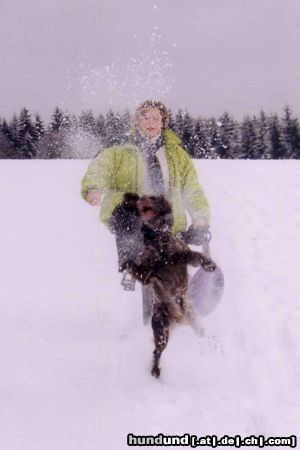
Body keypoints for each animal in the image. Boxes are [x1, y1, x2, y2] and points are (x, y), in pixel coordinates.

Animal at [120, 192, 214, 378]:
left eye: (149, 200)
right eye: (141, 207)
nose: (133, 198)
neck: (159, 240)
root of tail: (181, 316)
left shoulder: (183, 254)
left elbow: (197, 255)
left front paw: (210, 265)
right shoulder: (147, 273)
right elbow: (140, 269)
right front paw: (126, 264)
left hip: (194, 321)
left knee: (199, 332)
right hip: (162, 329)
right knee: (157, 352)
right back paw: (155, 372)